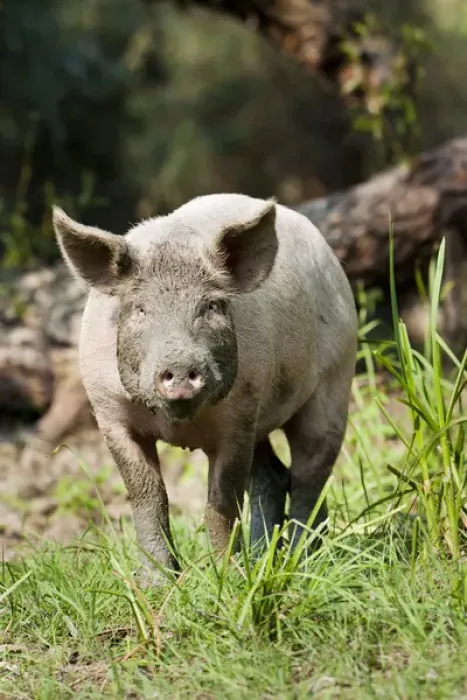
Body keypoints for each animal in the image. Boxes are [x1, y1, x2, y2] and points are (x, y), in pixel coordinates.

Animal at [53, 193, 358, 584]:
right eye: (139, 309)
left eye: (211, 306)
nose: (182, 365)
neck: (178, 422)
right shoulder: (109, 413)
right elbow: (148, 496)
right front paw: (157, 585)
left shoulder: (239, 417)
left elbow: (221, 503)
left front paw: (230, 580)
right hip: (264, 420)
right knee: (274, 477)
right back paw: (265, 558)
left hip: (335, 380)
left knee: (310, 473)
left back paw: (301, 565)